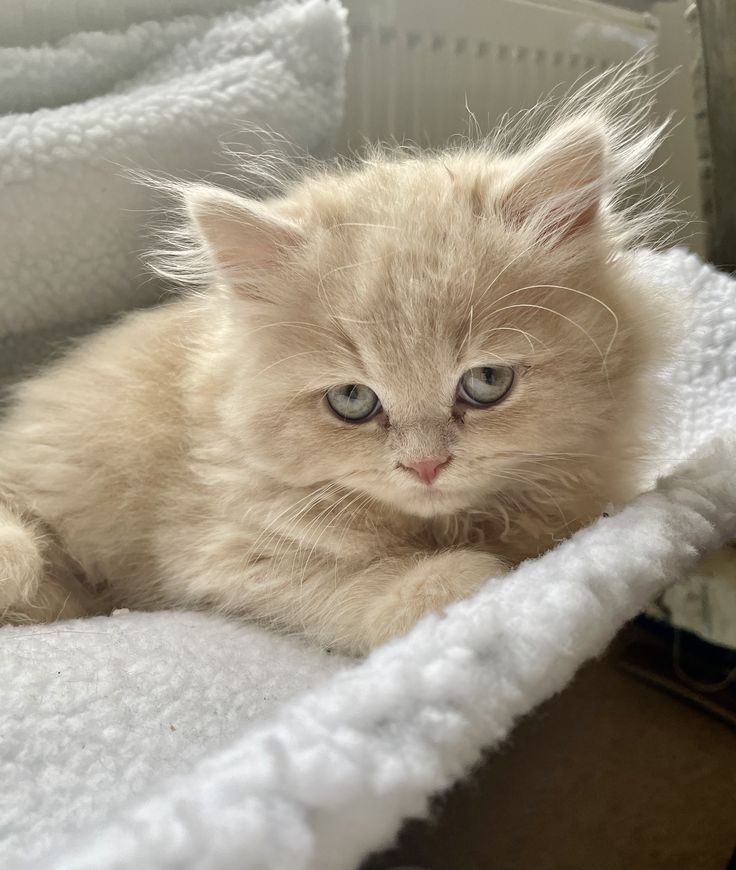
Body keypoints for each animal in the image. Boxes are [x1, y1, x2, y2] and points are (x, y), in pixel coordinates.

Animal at [0, 71, 680, 656]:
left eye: (486, 382)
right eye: (352, 401)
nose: (426, 466)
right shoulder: (223, 549)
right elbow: (346, 589)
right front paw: (462, 582)